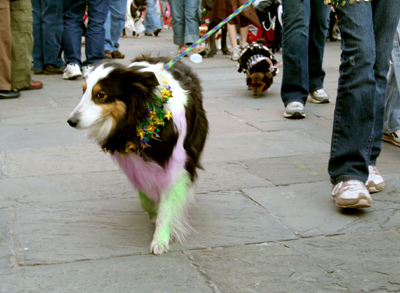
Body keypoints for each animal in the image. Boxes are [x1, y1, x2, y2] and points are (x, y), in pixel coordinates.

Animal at [67, 55, 208, 253]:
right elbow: (145, 197)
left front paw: (160, 240)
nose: (70, 121)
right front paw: (153, 213)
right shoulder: (136, 165)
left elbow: (167, 205)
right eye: (83, 90)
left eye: (100, 95)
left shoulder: (177, 165)